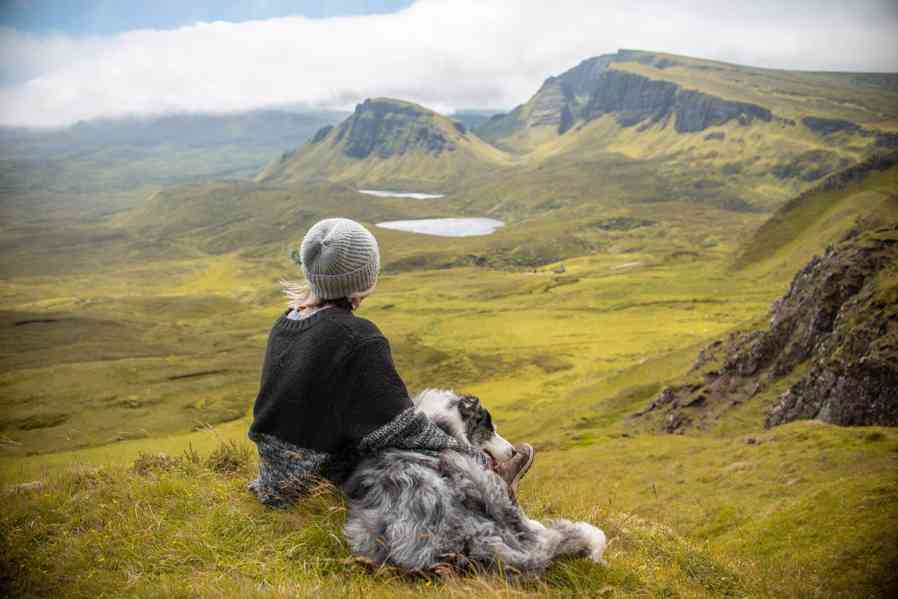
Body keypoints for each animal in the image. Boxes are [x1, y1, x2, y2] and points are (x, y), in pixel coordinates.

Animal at [340, 390, 604, 576]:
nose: (512, 451)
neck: (442, 426)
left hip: (362, 531)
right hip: (487, 487)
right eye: (489, 430)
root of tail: (466, 537)